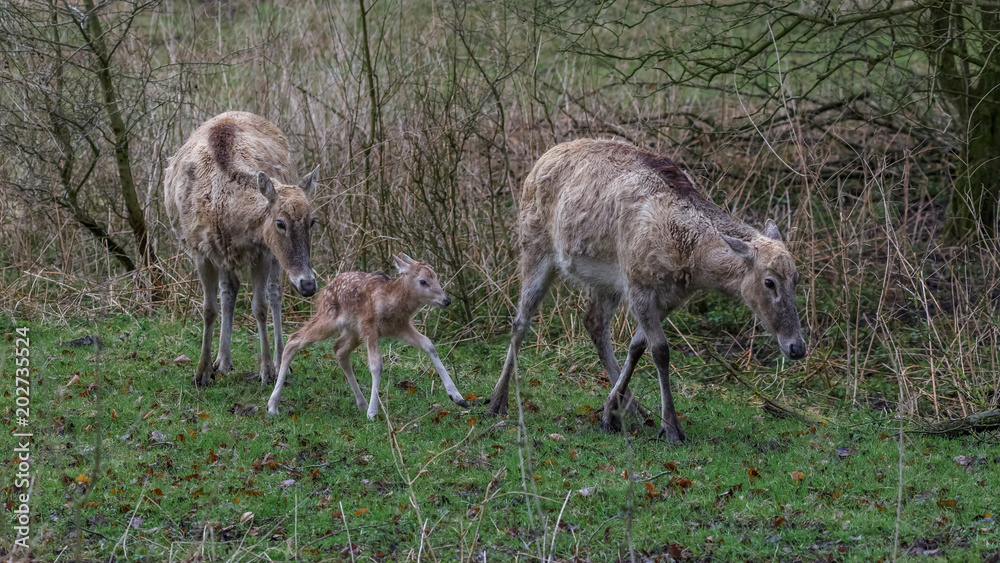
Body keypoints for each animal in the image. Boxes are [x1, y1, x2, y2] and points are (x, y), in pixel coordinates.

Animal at [164, 111, 318, 388]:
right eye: (280, 223)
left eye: (313, 221)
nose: (308, 285)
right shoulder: (200, 249)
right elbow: (208, 309)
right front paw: (202, 373)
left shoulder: (261, 251)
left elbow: (260, 307)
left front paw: (267, 371)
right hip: (223, 254)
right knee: (229, 290)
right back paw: (223, 362)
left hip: (268, 257)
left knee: (274, 293)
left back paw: (281, 363)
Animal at [266, 254, 468, 418]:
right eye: (423, 281)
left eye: (436, 277)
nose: (446, 300)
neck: (391, 303)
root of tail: (324, 290)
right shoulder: (369, 325)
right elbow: (376, 364)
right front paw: (373, 413)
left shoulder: (399, 327)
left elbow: (428, 344)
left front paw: (458, 397)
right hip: (329, 319)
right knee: (295, 339)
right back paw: (272, 406)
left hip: (353, 331)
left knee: (339, 350)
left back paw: (361, 403)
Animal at [488, 139, 808, 442]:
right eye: (769, 282)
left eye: (797, 277)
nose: (797, 347)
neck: (688, 257)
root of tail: (539, 161)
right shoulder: (638, 282)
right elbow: (661, 350)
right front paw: (672, 428)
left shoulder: (669, 297)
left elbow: (637, 345)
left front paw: (611, 411)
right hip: (534, 245)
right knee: (521, 321)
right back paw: (497, 401)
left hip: (607, 280)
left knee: (593, 322)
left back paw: (633, 409)